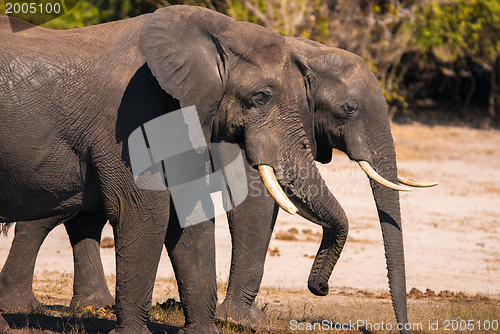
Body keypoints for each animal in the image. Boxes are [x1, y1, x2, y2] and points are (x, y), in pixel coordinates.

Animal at [0, 5, 352, 334]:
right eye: (262, 97)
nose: (320, 287)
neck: (216, 32)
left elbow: (189, 211)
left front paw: (202, 332)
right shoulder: (131, 115)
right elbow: (143, 211)